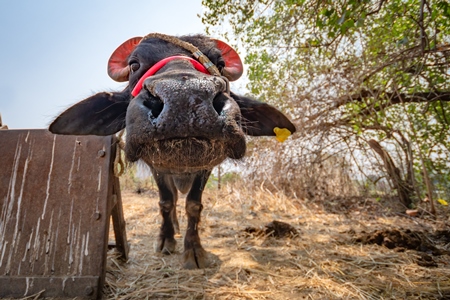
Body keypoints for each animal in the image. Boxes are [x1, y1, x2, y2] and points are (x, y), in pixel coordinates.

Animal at [50, 33, 296, 270]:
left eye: (220, 62)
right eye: (134, 64)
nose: (184, 98)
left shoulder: (207, 166)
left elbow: (193, 205)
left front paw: (194, 250)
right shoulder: (156, 166)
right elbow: (167, 201)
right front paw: (166, 240)